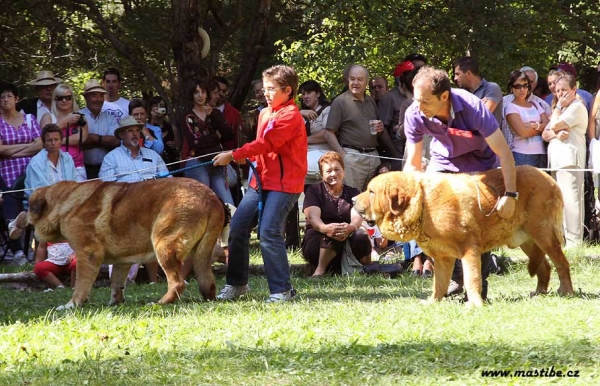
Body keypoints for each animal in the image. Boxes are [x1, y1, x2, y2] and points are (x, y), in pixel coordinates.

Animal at [25, 177, 223, 308]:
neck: (65, 204)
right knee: (207, 282)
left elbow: (81, 284)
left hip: (163, 245)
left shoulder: (87, 254)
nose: (24, 219)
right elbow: (116, 282)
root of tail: (211, 197)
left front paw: (72, 304)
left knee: (177, 283)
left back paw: (159, 302)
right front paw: (115, 302)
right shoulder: (122, 261)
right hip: (200, 254)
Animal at [354, 164, 576, 306]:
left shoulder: (469, 250)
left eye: (371, 192)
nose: (353, 199)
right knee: (544, 266)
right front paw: (433, 301)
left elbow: (472, 278)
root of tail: (548, 177)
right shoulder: (443, 258)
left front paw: (475, 304)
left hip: (544, 235)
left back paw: (566, 291)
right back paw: (539, 292)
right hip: (528, 241)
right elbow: (439, 283)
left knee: (561, 263)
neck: (424, 203)